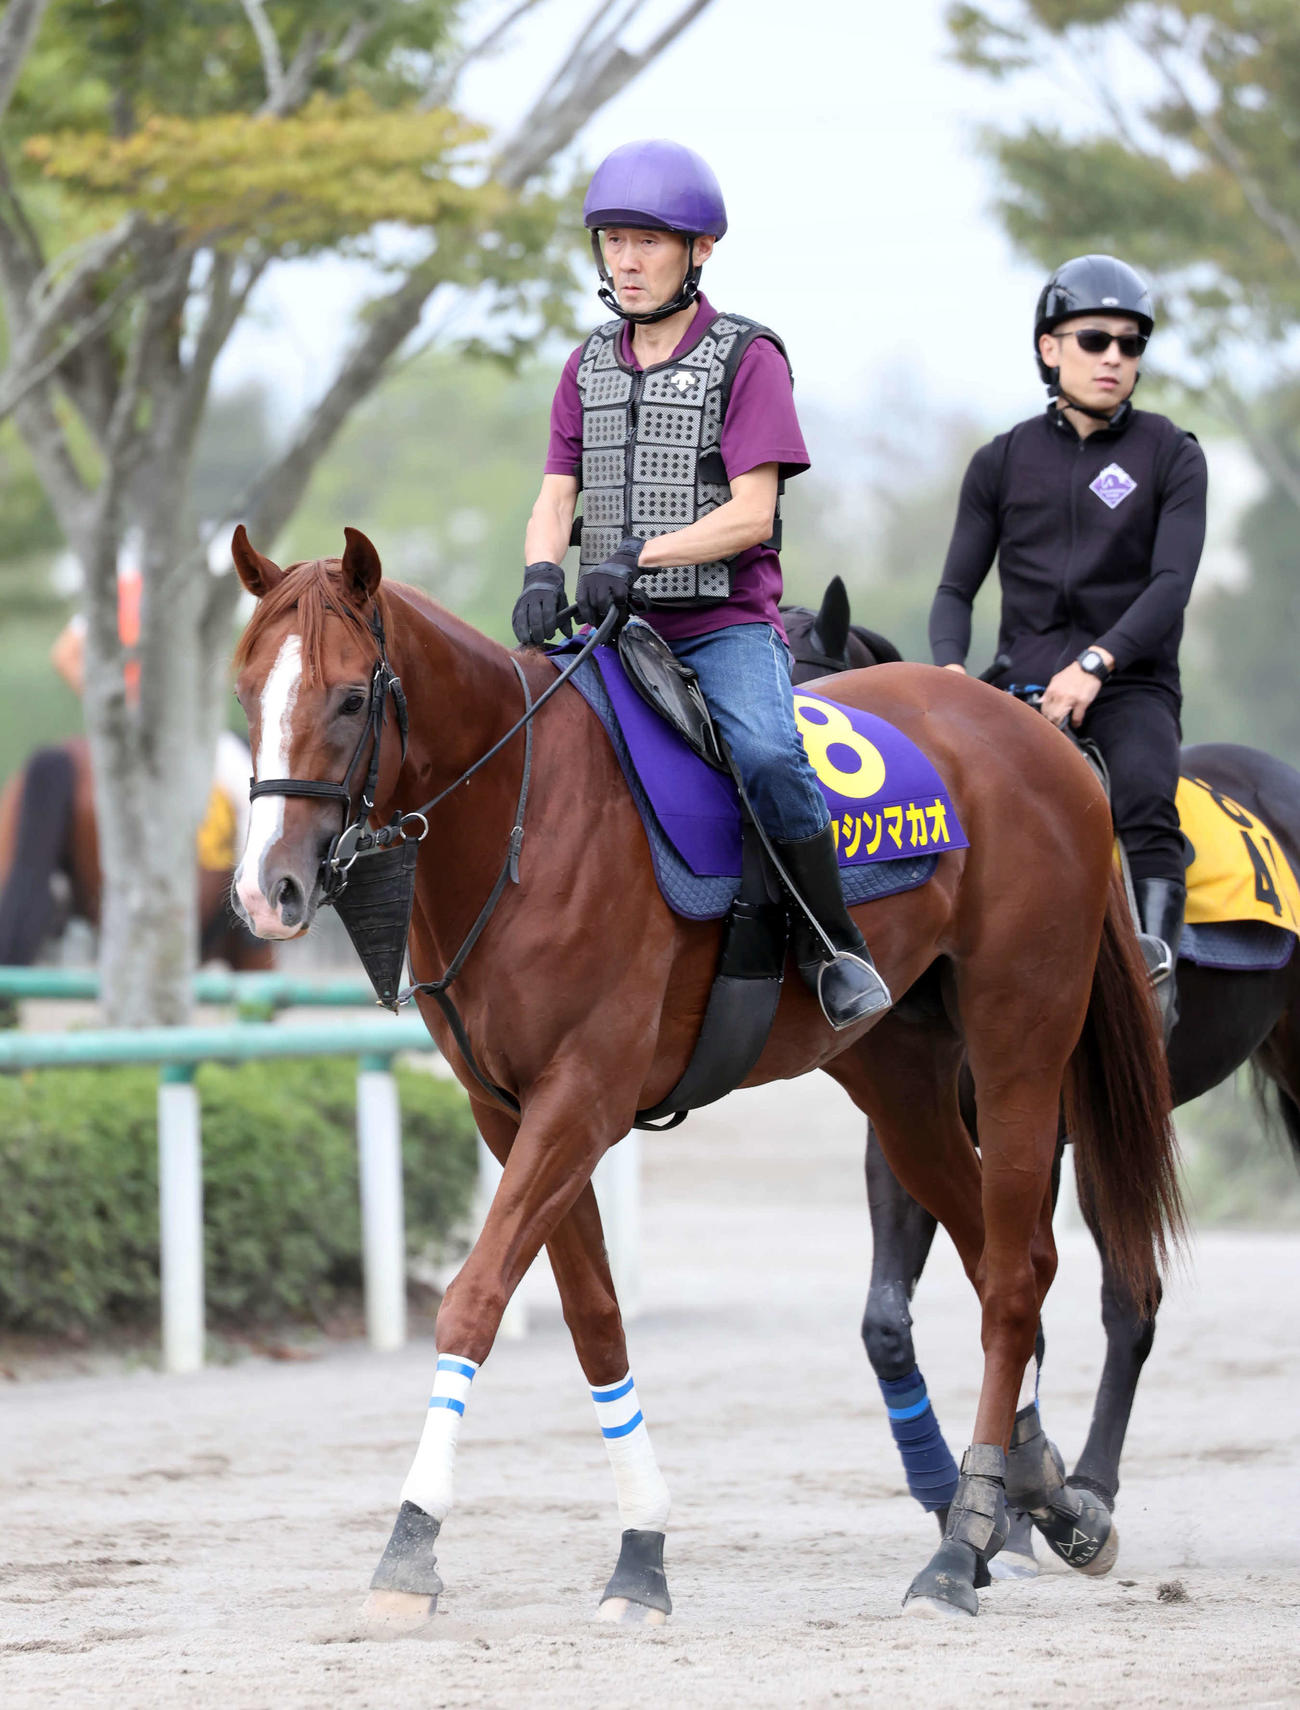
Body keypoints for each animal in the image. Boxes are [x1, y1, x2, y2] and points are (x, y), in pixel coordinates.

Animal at [227, 525, 1182, 1624]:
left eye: (350, 698)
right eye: (247, 692)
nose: (265, 890)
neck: (525, 813)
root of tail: (1044, 743)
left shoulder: (581, 1098)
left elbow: (474, 1298)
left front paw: (411, 1539)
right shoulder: (510, 1114)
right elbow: (594, 1319)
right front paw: (641, 1550)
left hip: (1020, 1045)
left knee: (1017, 1279)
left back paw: (957, 1552)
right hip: (900, 1079)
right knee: (1002, 1262)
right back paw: (1038, 1497)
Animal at [785, 581, 1300, 1575]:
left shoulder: (1045, 1127)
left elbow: (1029, 1290)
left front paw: (1023, 1512)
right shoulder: (902, 1127)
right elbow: (887, 1320)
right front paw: (973, 1506)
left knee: (1130, 1303)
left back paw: (1094, 1488)